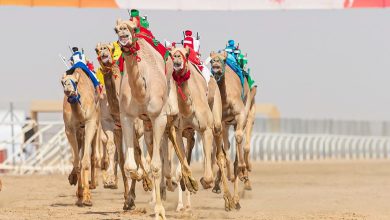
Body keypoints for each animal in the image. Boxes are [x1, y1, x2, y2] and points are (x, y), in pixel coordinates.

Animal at [61, 67, 100, 206]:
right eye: (62, 82)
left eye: (75, 82)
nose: (68, 90)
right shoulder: (69, 129)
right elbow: (77, 162)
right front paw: (79, 196)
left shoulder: (90, 123)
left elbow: (86, 161)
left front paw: (87, 198)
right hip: (79, 135)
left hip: (96, 127)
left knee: (93, 156)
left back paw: (92, 184)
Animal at [113, 18, 198, 219]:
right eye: (115, 29)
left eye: (133, 28)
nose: (124, 33)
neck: (142, 91)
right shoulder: (127, 116)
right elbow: (131, 165)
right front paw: (142, 180)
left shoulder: (158, 116)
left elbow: (157, 166)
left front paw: (159, 210)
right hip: (148, 123)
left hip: (172, 115)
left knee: (176, 141)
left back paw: (188, 180)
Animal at [171, 46, 235, 211]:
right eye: (171, 52)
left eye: (186, 54)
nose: (177, 58)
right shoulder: (178, 130)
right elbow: (183, 163)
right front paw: (190, 184)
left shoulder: (206, 128)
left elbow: (207, 176)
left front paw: (203, 182)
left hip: (217, 116)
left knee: (220, 155)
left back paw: (229, 200)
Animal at [209, 50, 254, 209]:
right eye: (211, 60)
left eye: (222, 60)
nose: (216, 67)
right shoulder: (221, 122)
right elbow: (224, 153)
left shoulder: (240, 114)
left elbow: (239, 137)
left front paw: (242, 171)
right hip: (227, 123)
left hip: (247, 109)